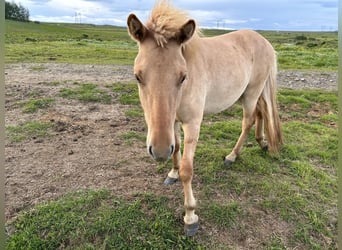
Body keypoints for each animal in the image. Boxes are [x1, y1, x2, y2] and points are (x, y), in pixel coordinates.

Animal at [127, 0, 282, 235]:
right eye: (138, 76)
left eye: (183, 76)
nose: (160, 152)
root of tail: (264, 41)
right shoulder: (172, 122)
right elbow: (176, 148)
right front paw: (172, 173)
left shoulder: (192, 124)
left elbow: (187, 169)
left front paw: (190, 216)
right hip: (250, 94)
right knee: (261, 112)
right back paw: (262, 142)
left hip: (252, 93)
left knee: (248, 121)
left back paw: (232, 156)